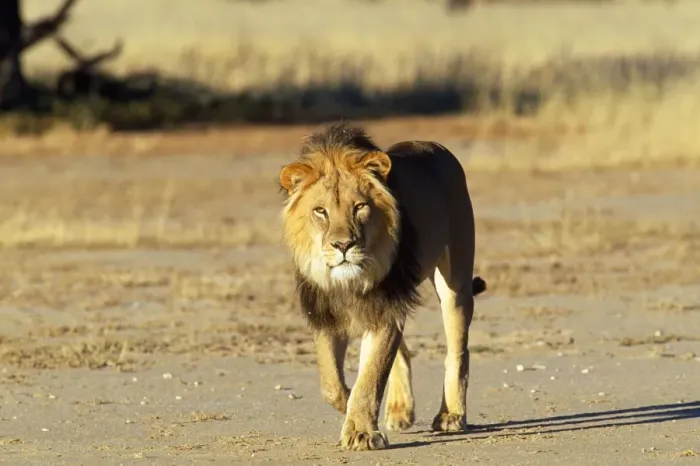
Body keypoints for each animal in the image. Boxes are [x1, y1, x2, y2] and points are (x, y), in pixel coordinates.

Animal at [278, 122, 486, 451]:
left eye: (360, 207)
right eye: (320, 211)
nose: (343, 245)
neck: (349, 280)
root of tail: (436, 146)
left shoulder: (386, 308)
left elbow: (371, 374)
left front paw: (361, 432)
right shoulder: (327, 312)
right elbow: (332, 383)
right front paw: (352, 409)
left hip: (456, 281)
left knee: (458, 350)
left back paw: (451, 415)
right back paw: (400, 411)